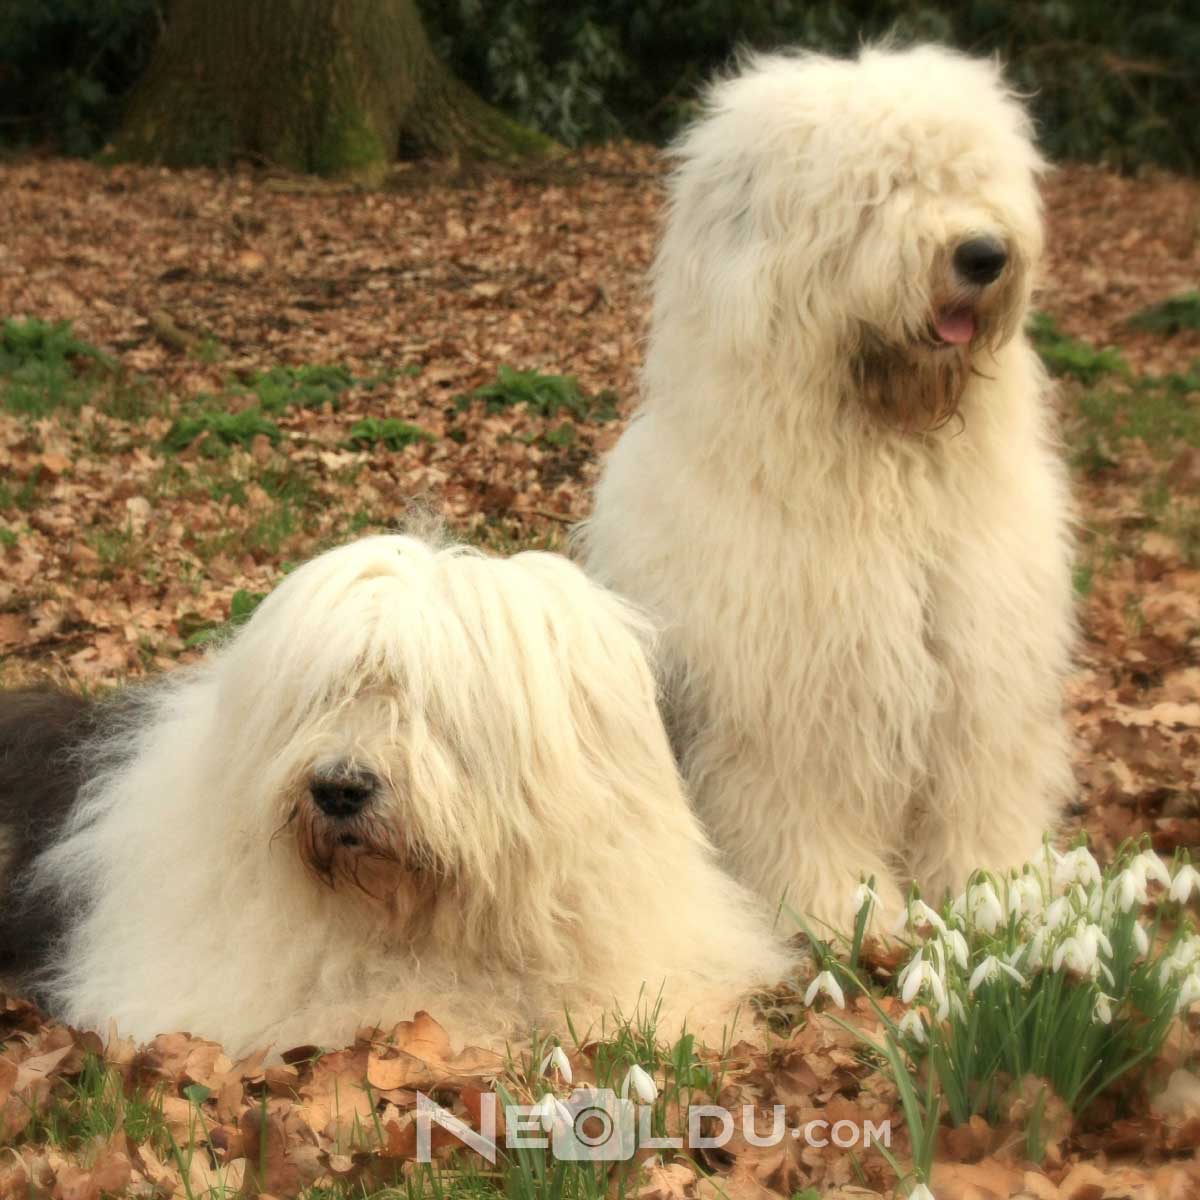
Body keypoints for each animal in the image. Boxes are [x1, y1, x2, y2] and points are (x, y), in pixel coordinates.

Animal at [576, 44, 1075, 926]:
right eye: (881, 190)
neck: (892, 466)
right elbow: (805, 811)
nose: (983, 254)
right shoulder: (797, 702)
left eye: (972, 175)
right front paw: (840, 911)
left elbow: (982, 791)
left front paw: (996, 892)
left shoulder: (981, 679)